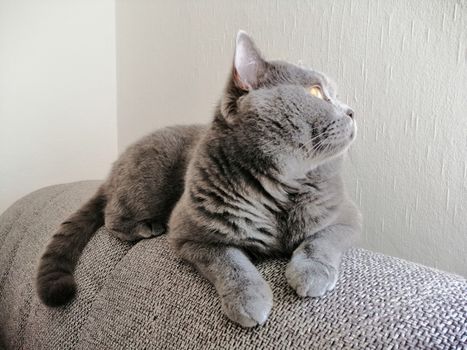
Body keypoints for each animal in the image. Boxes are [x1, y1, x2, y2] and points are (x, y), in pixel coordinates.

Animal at [36, 31, 362, 326]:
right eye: (316, 92)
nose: (351, 111)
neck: (283, 185)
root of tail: (116, 165)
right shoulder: (189, 234)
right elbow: (230, 262)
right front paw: (249, 300)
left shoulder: (348, 217)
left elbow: (321, 240)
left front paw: (311, 274)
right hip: (149, 181)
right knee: (111, 216)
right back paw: (146, 227)